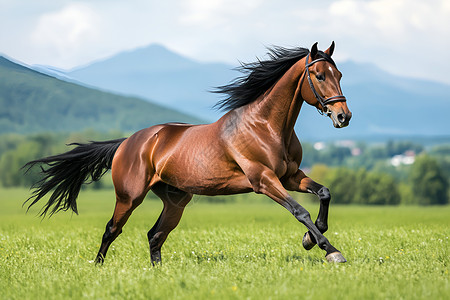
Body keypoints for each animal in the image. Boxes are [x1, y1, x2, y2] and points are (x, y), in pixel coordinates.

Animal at [24, 42, 352, 264]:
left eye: (339, 73)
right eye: (319, 76)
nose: (343, 116)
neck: (266, 126)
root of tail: (128, 142)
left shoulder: (290, 177)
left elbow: (324, 193)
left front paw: (310, 238)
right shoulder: (263, 180)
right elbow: (300, 210)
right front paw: (330, 250)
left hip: (176, 200)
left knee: (155, 235)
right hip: (129, 196)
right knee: (112, 229)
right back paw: (98, 266)